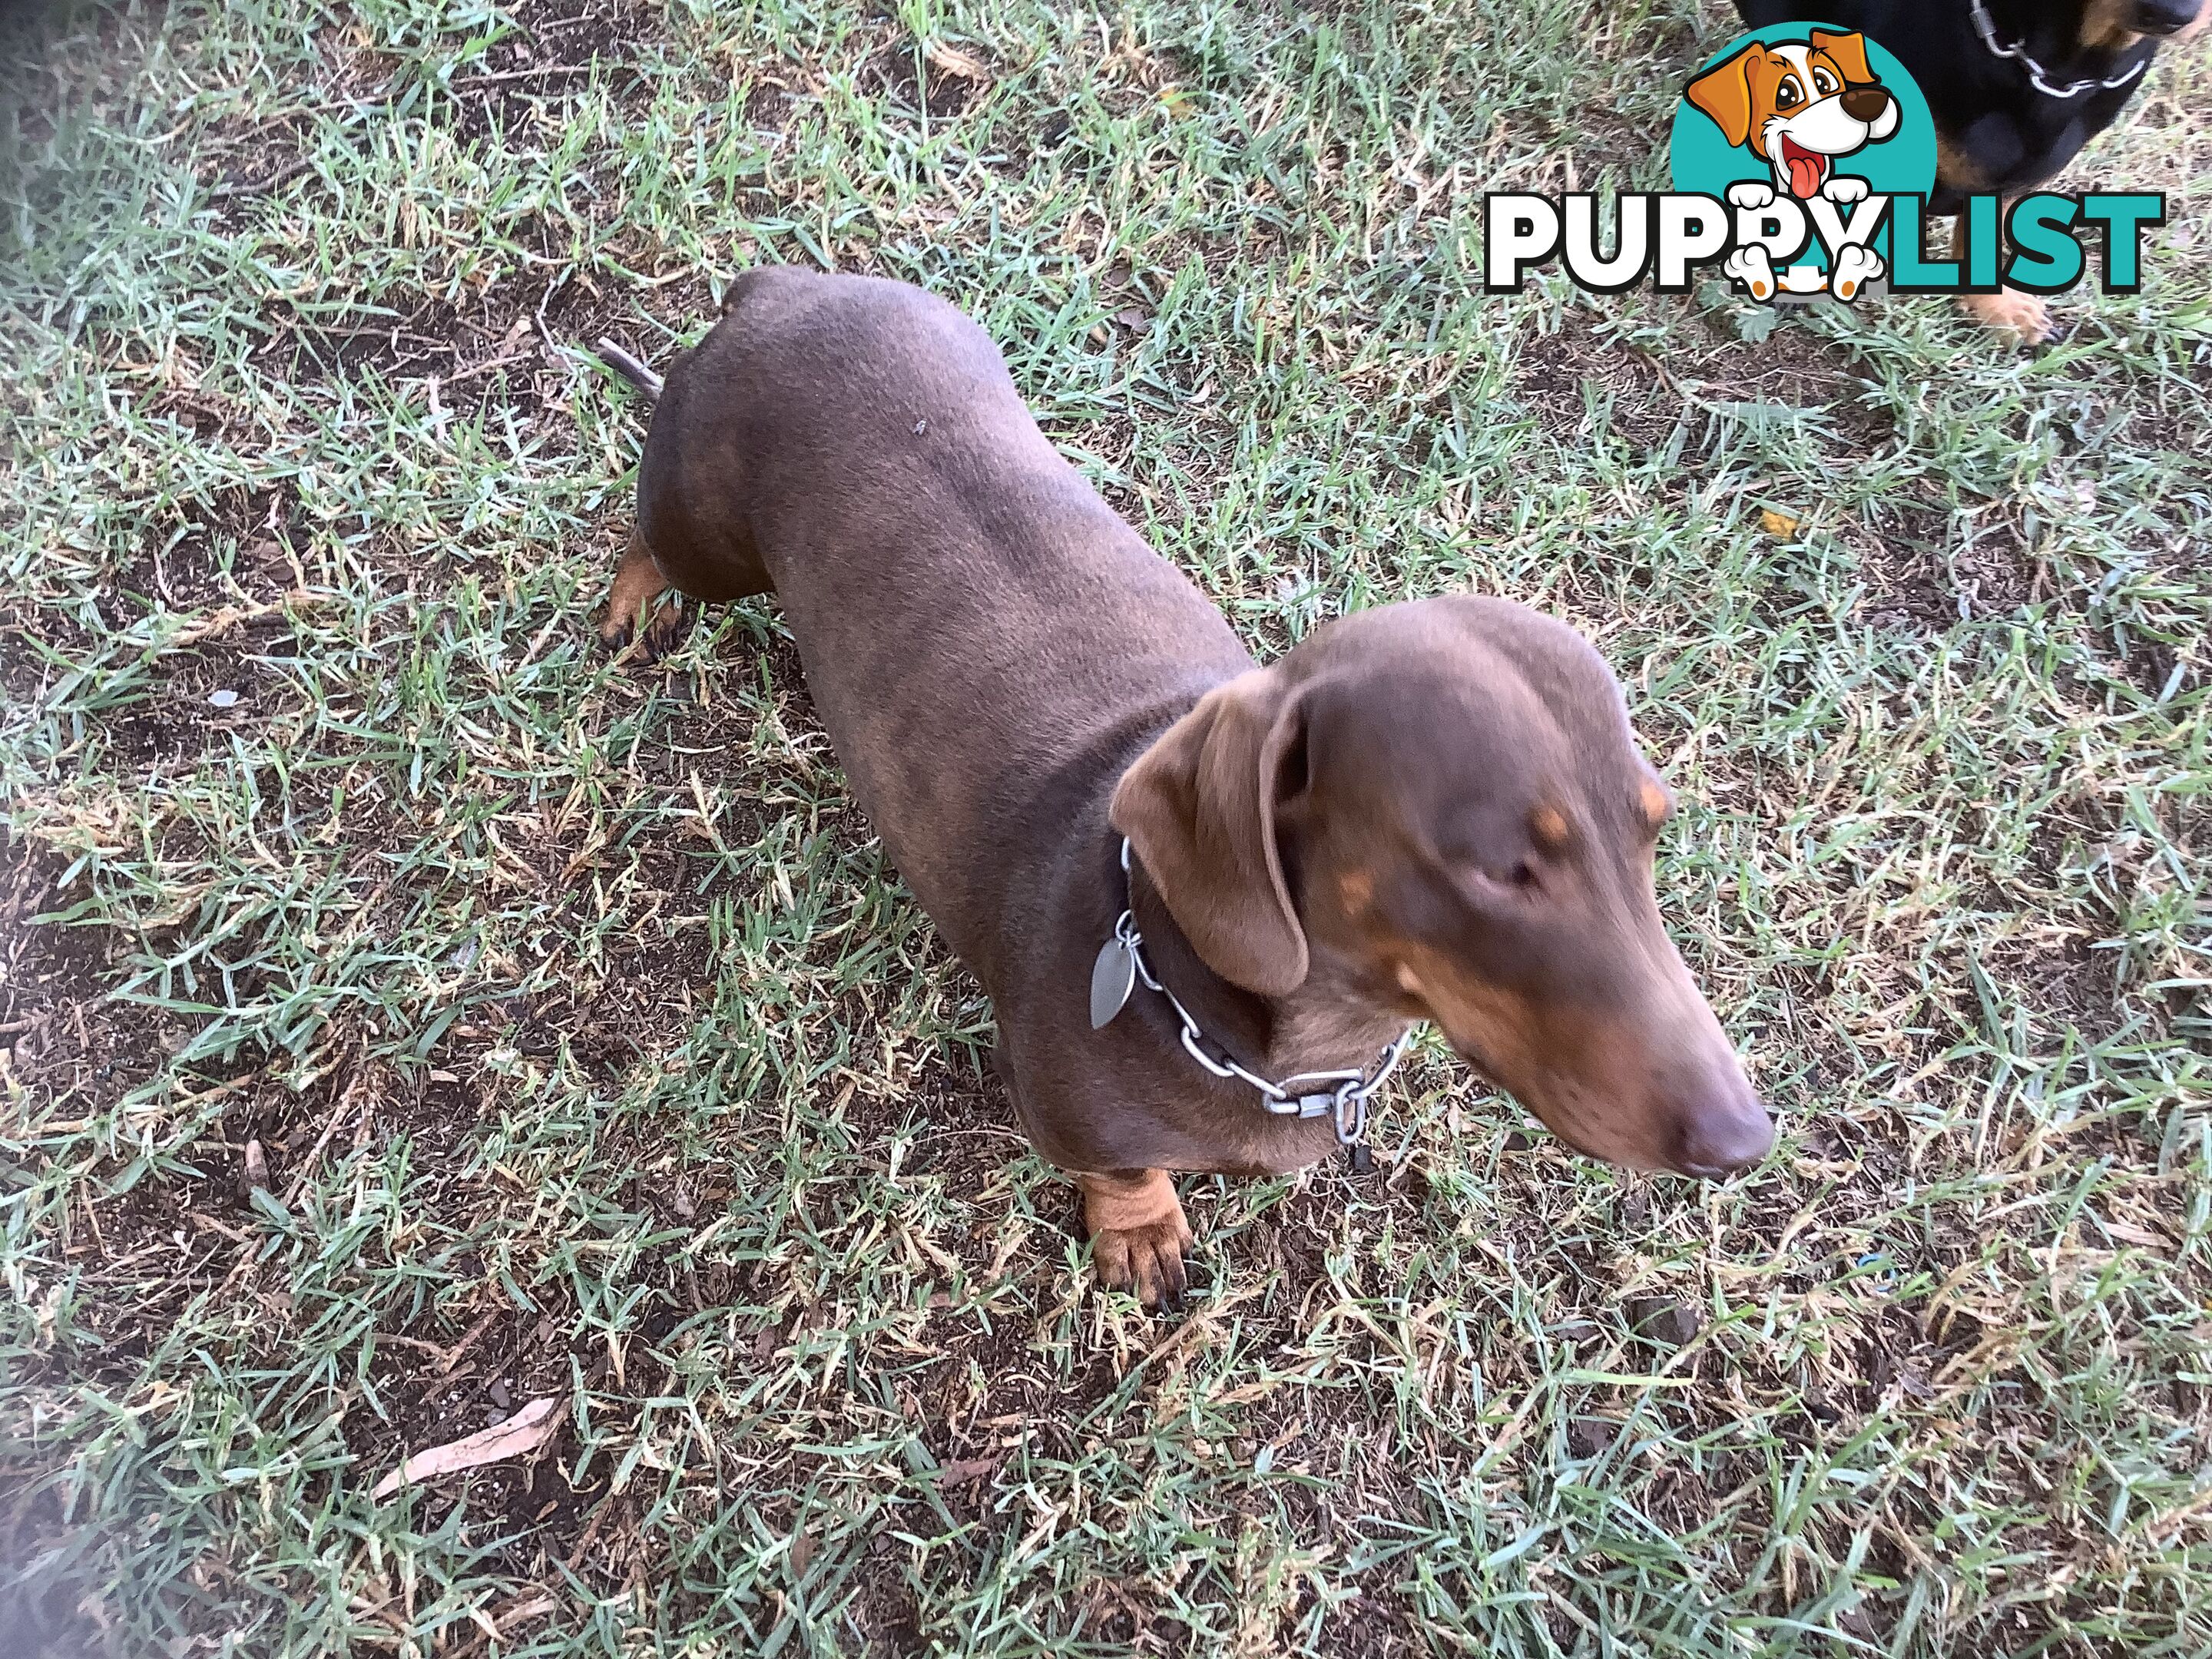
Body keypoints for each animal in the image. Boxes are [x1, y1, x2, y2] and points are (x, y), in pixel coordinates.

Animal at [597, 273, 1770, 1309]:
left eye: (1653, 831)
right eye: (1499, 868)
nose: (1746, 1142)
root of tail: (781, 289)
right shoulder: (1065, 1117)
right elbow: (1119, 1171)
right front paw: (1142, 1231)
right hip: (710, 535)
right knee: (651, 536)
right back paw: (633, 602)